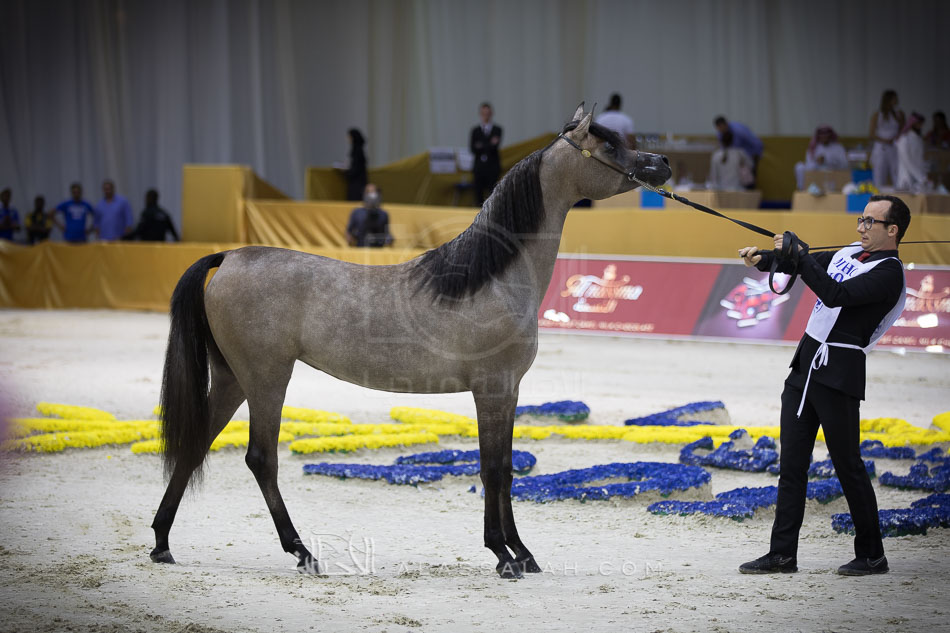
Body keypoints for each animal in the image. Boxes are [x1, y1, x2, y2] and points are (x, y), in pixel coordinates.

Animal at [150, 104, 672, 579]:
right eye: (609, 146)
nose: (663, 163)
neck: (490, 279)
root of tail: (229, 257)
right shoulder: (491, 389)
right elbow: (492, 469)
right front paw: (503, 555)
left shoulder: (509, 391)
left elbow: (504, 468)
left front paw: (522, 553)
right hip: (266, 379)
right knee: (261, 459)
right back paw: (302, 552)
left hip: (233, 378)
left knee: (196, 445)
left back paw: (162, 543)